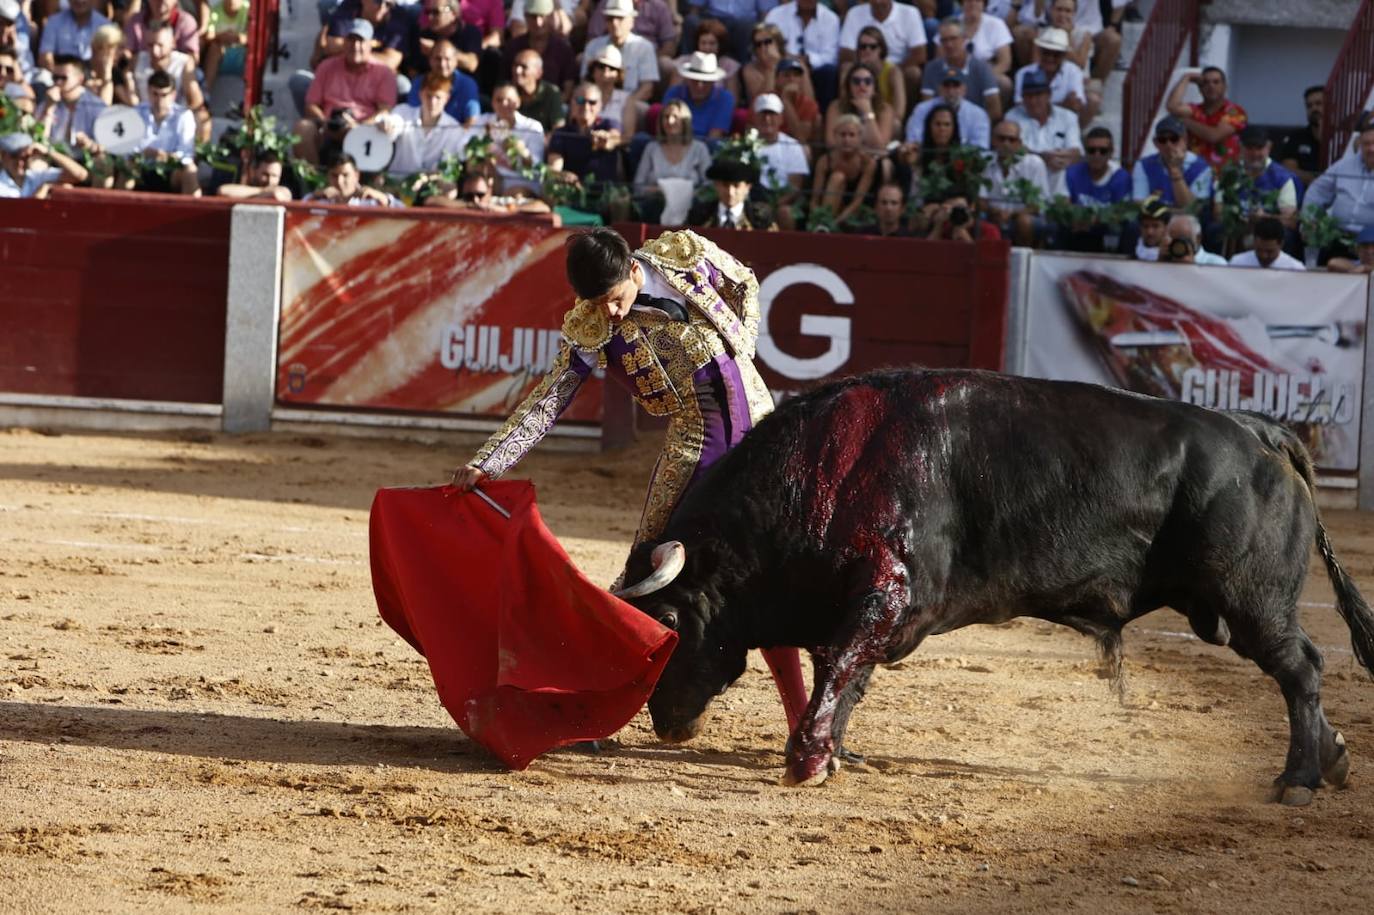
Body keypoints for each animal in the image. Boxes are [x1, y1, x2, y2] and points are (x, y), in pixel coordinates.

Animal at [623, 368, 1374, 802]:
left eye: (669, 626)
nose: (665, 725)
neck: (824, 469)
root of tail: (1260, 430)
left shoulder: (885, 590)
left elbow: (840, 663)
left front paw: (806, 760)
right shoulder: (864, 604)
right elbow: (845, 673)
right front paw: (835, 752)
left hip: (1249, 602)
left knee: (1301, 667)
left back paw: (1298, 780)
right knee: (1297, 670)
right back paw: (1332, 760)